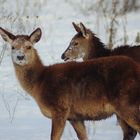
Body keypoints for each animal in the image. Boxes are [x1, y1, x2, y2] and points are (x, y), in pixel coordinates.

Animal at [0, 26, 140, 140]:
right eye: (13, 47)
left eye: (28, 46)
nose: (20, 57)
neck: (39, 83)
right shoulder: (75, 117)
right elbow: (83, 137)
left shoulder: (60, 109)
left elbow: (54, 137)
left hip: (127, 104)